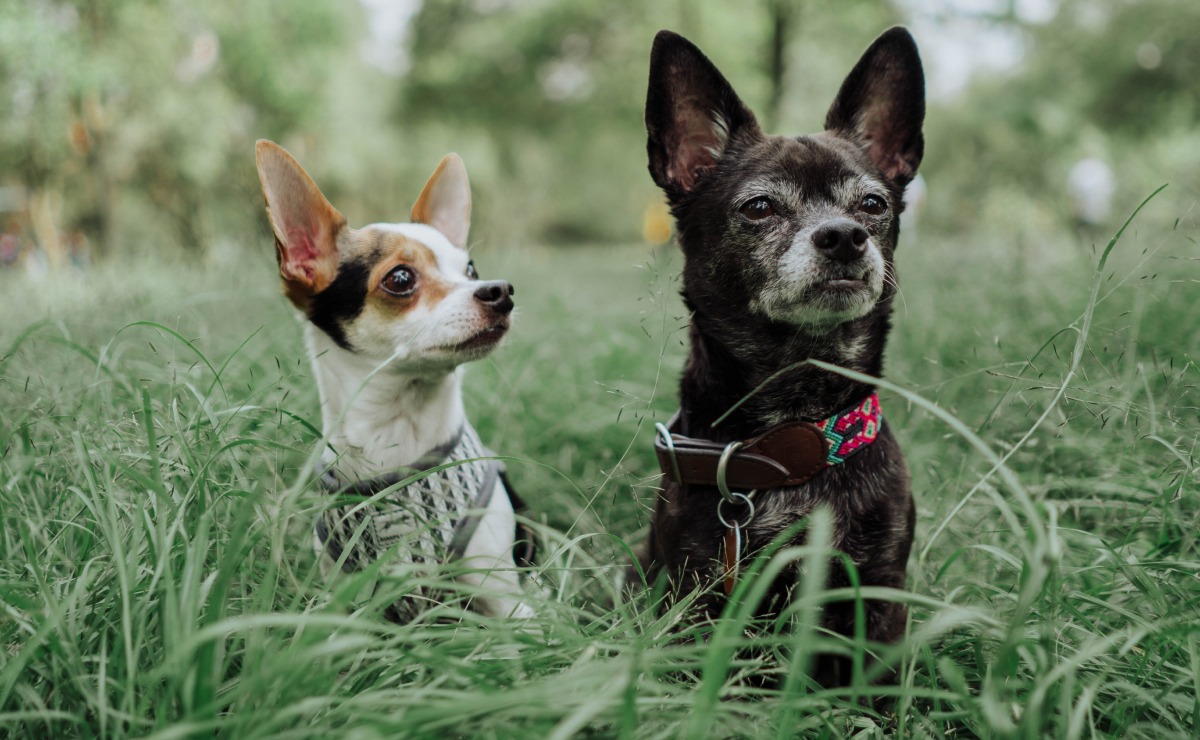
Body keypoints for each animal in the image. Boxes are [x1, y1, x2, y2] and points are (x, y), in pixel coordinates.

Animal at [643, 27, 921, 681]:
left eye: (873, 204)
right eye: (759, 207)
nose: (844, 235)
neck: (795, 433)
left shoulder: (879, 597)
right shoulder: (694, 598)